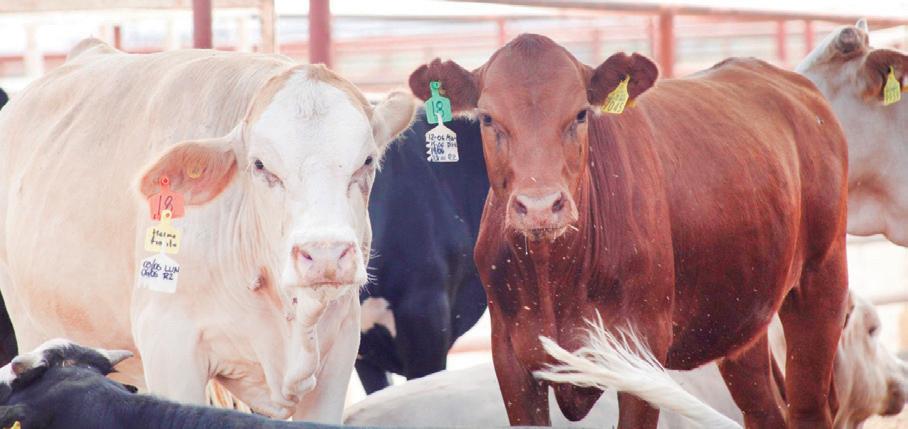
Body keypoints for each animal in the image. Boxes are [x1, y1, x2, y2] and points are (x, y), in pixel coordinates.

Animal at [409, 34, 849, 428]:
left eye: (580, 114)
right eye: (487, 118)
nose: (540, 206)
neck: (556, 276)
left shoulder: (641, 352)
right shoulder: (511, 359)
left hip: (821, 281)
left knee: (810, 409)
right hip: (742, 318)